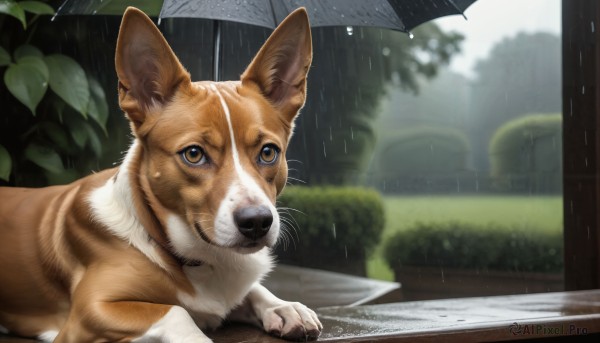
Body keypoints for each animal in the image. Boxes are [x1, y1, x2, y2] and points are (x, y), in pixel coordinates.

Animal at [0, 6, 322, 343]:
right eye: (193, 154)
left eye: (268, 152)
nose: (257, 222)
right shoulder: (89, 311)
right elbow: (176, 311)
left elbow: (252, 290)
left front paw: (284, 307)